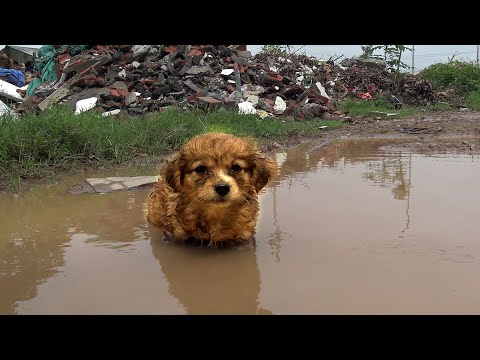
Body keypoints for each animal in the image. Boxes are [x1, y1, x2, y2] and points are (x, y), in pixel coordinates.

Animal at [145, 133, 278, 248]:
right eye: (200, 169)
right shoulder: (177, 237)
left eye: (236, 167)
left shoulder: (244, 238)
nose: (222, 188)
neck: (215, 214)